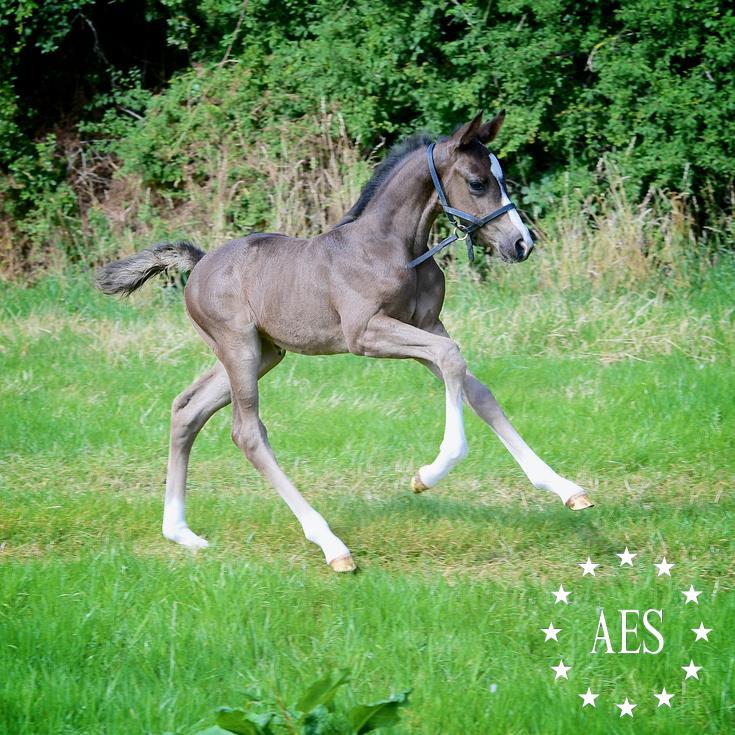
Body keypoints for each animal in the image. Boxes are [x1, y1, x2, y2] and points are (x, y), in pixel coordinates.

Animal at [96, 112, 592, 576]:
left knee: (187, 410)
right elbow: (452, 361)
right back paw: (331, 545)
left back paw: (181, 533)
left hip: (264, 353)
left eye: (501, 177)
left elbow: (478, 390)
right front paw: (427, 475)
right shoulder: (366, 333)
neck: (393, 248)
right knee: (247, 432)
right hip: (239, 349)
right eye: (477, 182)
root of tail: (198, 264)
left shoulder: (428, 325)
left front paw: (567, 490)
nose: (521, 243)